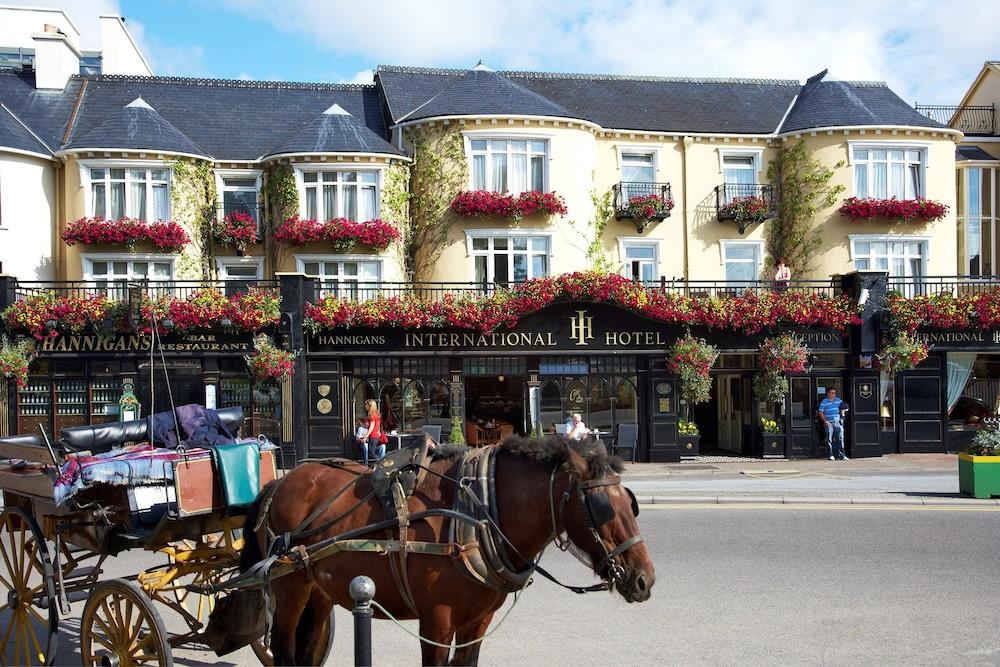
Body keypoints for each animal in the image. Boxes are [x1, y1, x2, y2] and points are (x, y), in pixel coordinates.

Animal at [238, 436, 652, 664]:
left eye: (630, 503)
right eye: (601, 506)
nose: (644, 579)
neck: (479, 511)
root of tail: (279, 483)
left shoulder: (477, 620)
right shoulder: (436, 619)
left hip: (319, 588)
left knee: (307, 649)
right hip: (289, 587)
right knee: (284, 650)